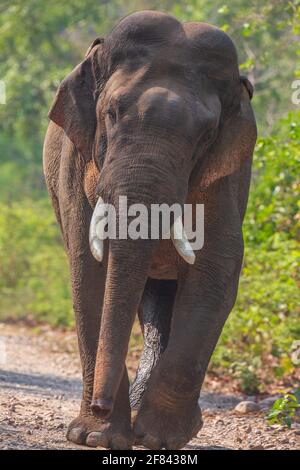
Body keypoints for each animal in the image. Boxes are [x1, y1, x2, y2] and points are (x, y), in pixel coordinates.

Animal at [43, 11, 256, 450]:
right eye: (111, 113)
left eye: (206, 135)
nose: (101, 404)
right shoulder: (78, 159)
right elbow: (89, 271)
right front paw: (97, 437)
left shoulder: (225, 174)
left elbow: (216, 270)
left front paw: (160, 439)